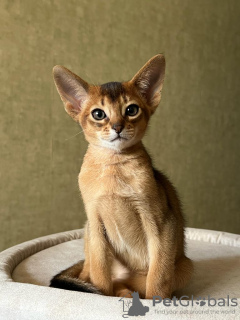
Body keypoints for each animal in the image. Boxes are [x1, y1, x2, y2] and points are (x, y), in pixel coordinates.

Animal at [50, 53, 193, 298]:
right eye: (98, 114)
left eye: (131, 110)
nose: (117, 126)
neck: (113, 168)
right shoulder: (96, 224)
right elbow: (100, 278)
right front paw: (101, 300)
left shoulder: (163, 223)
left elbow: (159, 278)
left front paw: (156, 303)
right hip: (88, 233)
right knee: (91, 275)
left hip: (185, 266)